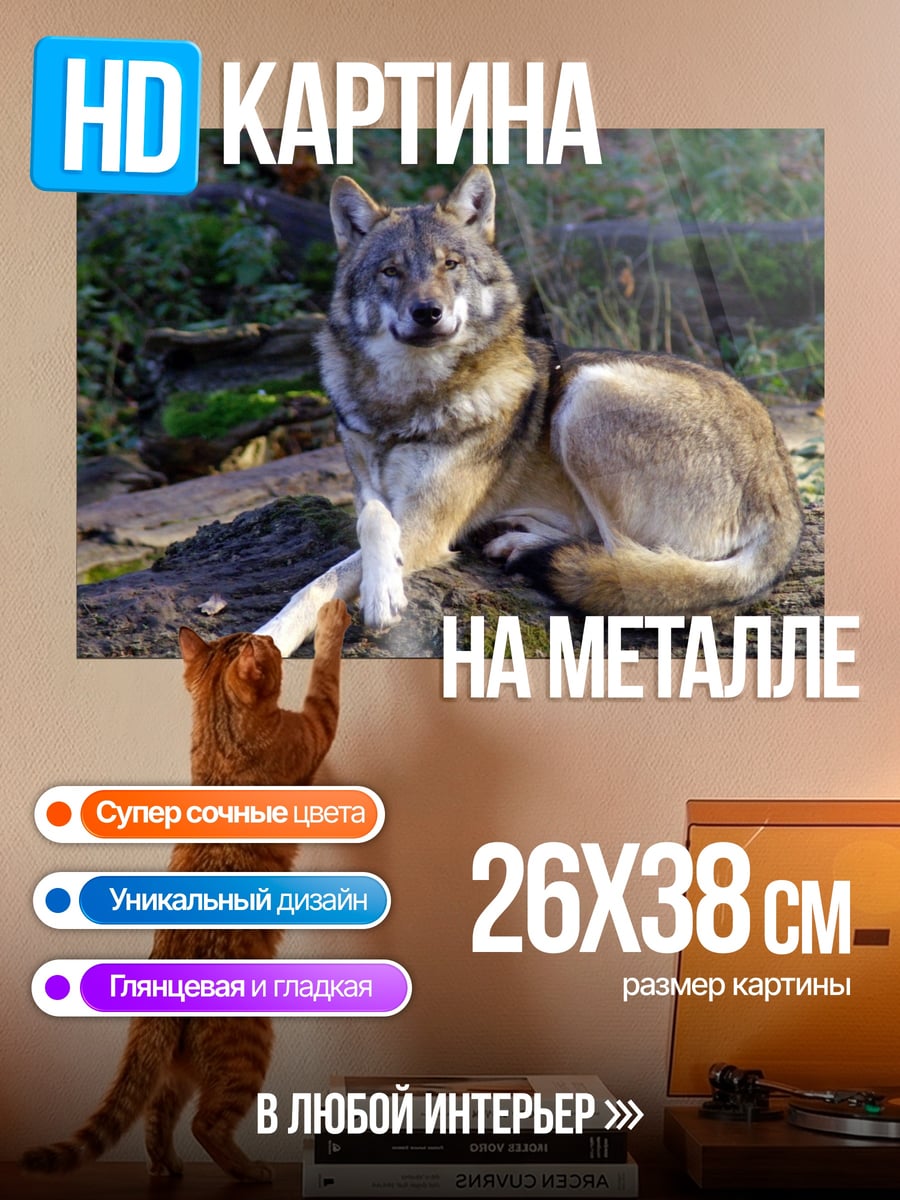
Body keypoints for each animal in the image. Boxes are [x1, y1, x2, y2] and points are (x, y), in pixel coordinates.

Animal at [257, 166, 803, 655]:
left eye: (450, 264)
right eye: (391, 272)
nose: (427, 312)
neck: (405, 403)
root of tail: (787, 498)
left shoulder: (430, 523)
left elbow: (327, 579)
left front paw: (363, 600)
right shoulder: (370, 490)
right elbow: (369, 522)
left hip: (586, 394)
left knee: (627, 563)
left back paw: (525, 546)